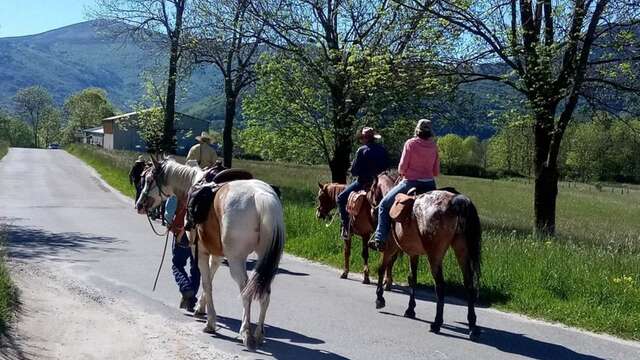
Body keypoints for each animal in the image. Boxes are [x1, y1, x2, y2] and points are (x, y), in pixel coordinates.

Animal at [136, 157, 284, 348]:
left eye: (148, 179)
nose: (139, 205)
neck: (193, 183)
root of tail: (260, 196)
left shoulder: (199, 251)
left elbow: (206, 282)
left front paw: (210, 323)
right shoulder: (217, 253)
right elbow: (210, 276)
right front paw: (200, 308)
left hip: (236, 260)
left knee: (246, 290)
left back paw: (246, 333)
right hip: (265, 259)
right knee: (264, 291)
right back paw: (259, 334)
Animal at [372, 188, 482, 340]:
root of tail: (455, 201)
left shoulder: (389, 248)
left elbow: (381, 269)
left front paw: (379, 299)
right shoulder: (413, 253)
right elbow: (412, 278)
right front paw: (410, 309)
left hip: (434, 255)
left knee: (440, 286)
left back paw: (436, 324)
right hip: (462, 250)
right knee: (469, 285)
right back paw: (472, 327)